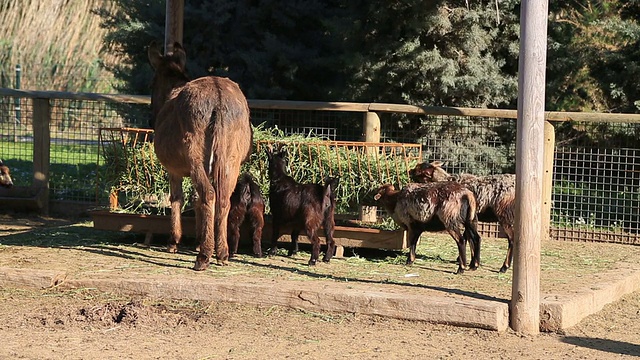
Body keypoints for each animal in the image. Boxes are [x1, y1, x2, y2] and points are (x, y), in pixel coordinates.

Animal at [148, 42, 252, 270]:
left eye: (152, 85)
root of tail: (218, 95)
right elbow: (195, 201)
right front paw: (199, 239)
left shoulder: (174, 171)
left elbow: (177, 198)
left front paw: (174, 241)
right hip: (231, 161)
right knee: (223, 199)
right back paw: (222, 253)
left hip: (196, 156)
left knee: (209, 195)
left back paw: (204, 256)